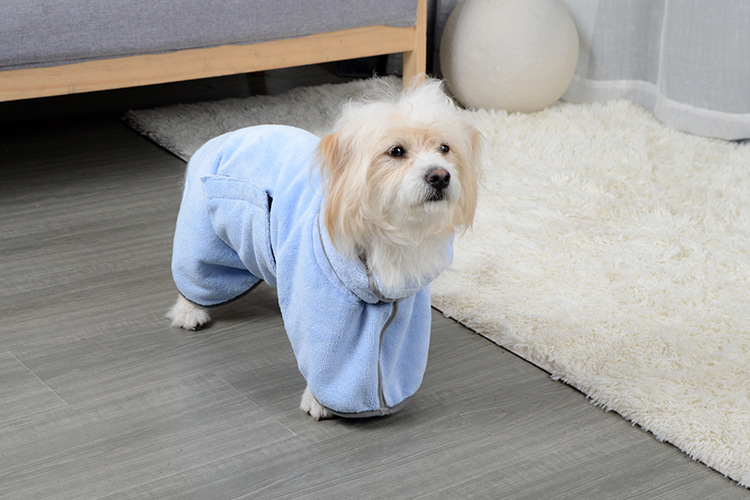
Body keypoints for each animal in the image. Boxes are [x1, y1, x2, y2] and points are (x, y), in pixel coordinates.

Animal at [165, 78, 482, 420]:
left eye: (444, 148)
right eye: (396, 151)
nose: (440, 175)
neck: (382, 232)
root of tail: (221, 137)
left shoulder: (402, 309)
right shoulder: (328, 305)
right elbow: (330, 361)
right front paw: (319, 402)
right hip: (202, 237)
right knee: (195, 278)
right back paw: (189, 311)